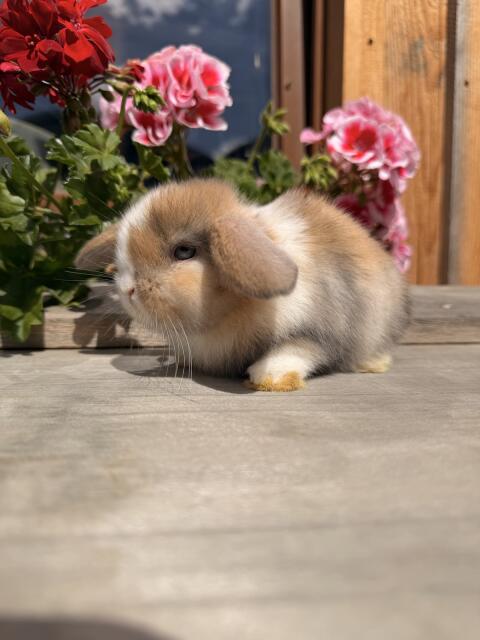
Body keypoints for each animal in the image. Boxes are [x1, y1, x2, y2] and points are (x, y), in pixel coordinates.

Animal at [76, 178, 409, 391]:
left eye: (183, 251)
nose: (127, 289)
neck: (233, 309)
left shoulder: (320, 329)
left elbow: (298, 349)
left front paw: (269, 378)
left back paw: (372, 363)